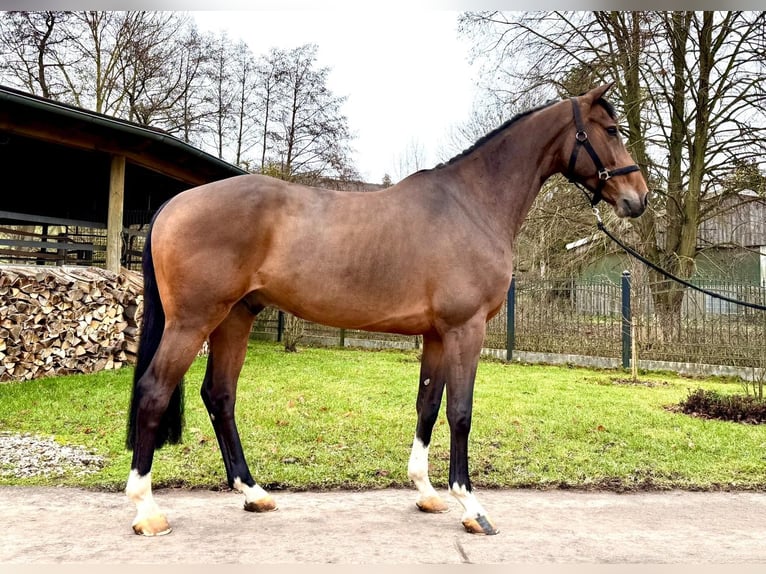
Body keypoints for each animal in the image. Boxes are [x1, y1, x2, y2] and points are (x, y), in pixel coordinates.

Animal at [124, 83, 648, 536]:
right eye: (611, 129)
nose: (638, 198)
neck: (472, 203)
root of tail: (173, 204)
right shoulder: (465, 329)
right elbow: (460, 411)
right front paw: (471, 505)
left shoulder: (436, 334)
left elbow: (428, 405)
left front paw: (427, 492)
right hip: (194, 321)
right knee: (154, 391)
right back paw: (147, 511)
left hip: (235, 317)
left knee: (220, 395)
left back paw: (253, 492)